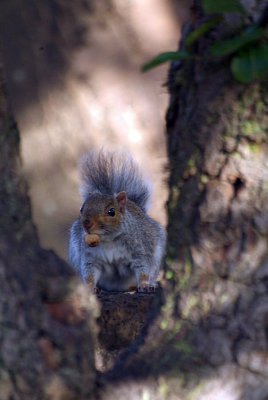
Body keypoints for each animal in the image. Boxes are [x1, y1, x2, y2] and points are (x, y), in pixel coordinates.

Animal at [68, 152, 166, 292]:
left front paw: (144, 284)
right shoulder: (90, 257)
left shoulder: (139, 250)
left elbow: (143, 268)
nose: (86, 224)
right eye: (81, 209)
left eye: (111, 212)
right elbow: (89, 273)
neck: (108, 241)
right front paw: (90, 287)